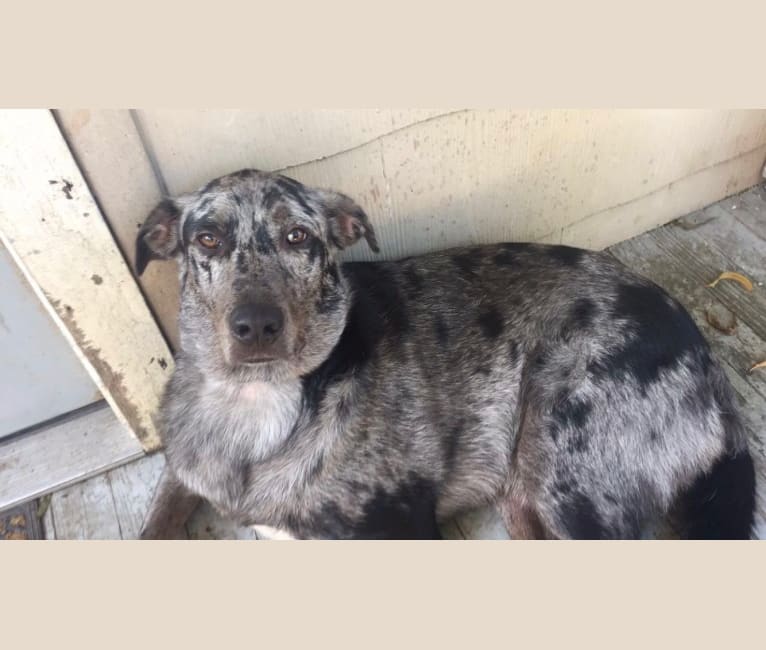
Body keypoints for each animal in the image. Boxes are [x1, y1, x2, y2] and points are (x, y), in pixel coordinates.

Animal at [136, 166, 756, 536]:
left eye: (299, 238)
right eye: (207, 238)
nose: (256, 325)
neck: (254, 403)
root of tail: (709, 366)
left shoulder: (403, 524)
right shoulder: (182, 470)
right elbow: (156, 522)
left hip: (568, 479)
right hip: (524, 493)